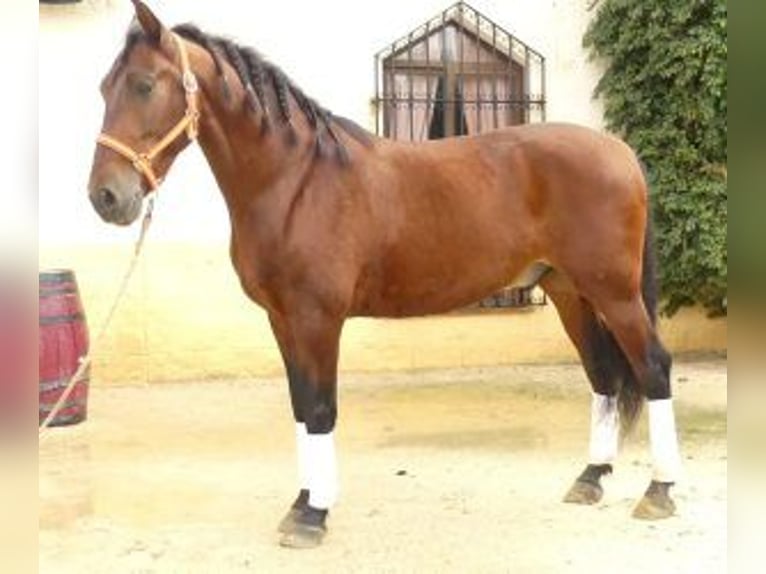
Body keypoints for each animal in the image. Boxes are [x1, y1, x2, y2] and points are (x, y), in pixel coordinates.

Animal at [87, 1, 682, 548]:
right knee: (603, 376)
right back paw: (591, 479)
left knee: (652, 368)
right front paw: (301, 502)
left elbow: (321, 409)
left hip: (615, 293)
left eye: (144, 85)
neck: (295, 182)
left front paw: (313, 516)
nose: (106, 197)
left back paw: (659, 491)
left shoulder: (317, 319)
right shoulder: (282, 319)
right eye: (103, 88)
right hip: (568, 292)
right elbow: (300, 407)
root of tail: (620, 151)